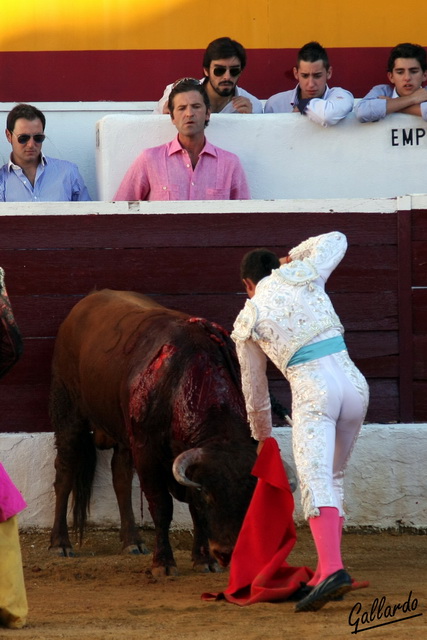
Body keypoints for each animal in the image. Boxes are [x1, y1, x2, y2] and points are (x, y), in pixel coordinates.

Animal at [48, 290, 260, 576]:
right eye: (208, 494)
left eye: (250, 495)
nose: (227, 553)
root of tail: (87, 300)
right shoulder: (147, 451)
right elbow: (162, 506)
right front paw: (164, 563)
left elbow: (192, 511)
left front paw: (204, 559)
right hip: (68, 411)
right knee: (66, 472)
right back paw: (60, 543)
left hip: (124, 433)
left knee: (121, 477)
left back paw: (132, 541)